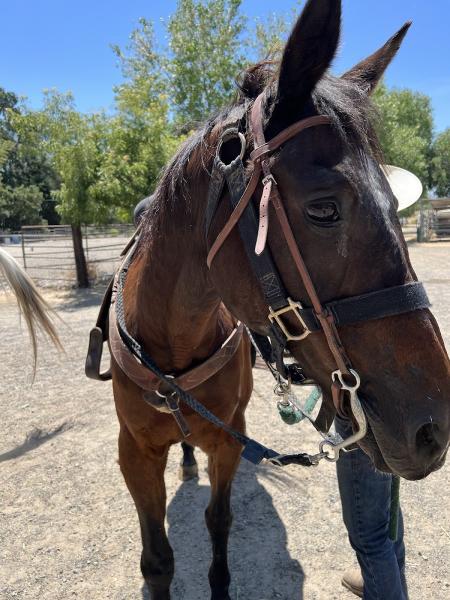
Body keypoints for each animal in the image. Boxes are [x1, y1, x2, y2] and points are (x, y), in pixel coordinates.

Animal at [107, 2, 448, 596]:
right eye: (323, 209)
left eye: (393, 203)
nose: (434, 429)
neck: (172, 344)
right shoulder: (136, 454)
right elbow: (158, 560)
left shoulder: (229, 441)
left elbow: (219, 524)